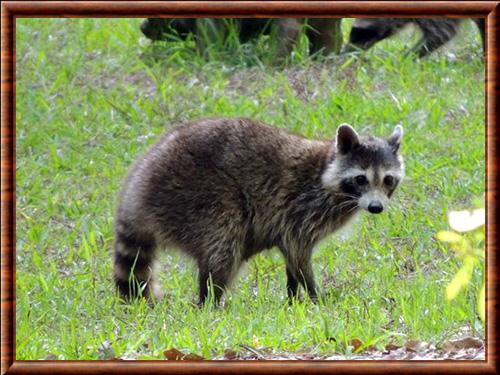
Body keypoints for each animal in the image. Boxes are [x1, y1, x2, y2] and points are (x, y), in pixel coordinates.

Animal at [112, 119, 402, 304]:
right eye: (361, 179)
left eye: (387, 179)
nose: (376, 208)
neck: (326, 171)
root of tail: (138, 187)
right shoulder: (301, 209)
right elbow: (298, 254)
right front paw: (314, 296)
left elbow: (290, 259)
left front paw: (293, 299)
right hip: (195, 194)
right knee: (224, 243)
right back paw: (210, 302)